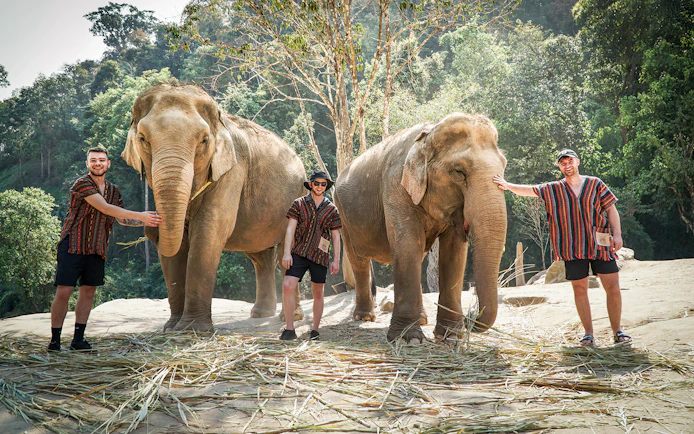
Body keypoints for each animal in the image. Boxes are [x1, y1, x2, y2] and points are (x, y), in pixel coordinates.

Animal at [122, 84, 306, 332]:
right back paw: (260, 314)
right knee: (261, 257)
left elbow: (209, 231)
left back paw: (289, 317)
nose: (151, 229)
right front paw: (171, 328)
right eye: (142, 138)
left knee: (287, 252)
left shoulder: (232, 170)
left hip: (298, 197)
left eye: (203, 140)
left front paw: (192, 329)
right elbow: (177, 245)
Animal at [334, 113, 507, 343]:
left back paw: (423, 319)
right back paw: (365, 318)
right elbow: (408, 245)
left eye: (504, 166)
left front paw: (451, 336)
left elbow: (454, 253)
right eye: (459, 172)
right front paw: (408, 339)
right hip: (343, 214)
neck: (429, 134)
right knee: (358, 260)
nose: (471, 316)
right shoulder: (395, 185)